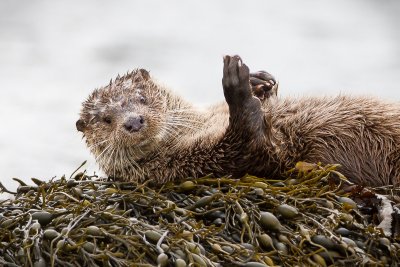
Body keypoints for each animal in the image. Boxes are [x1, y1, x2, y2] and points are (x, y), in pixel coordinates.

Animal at [77, 55, 400, 187]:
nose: (133, 122)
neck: (200, 124)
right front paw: (237, 87)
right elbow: (250, 147)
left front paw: (260, 81)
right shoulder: (189, 164)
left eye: (141, 98)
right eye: (106, 119)